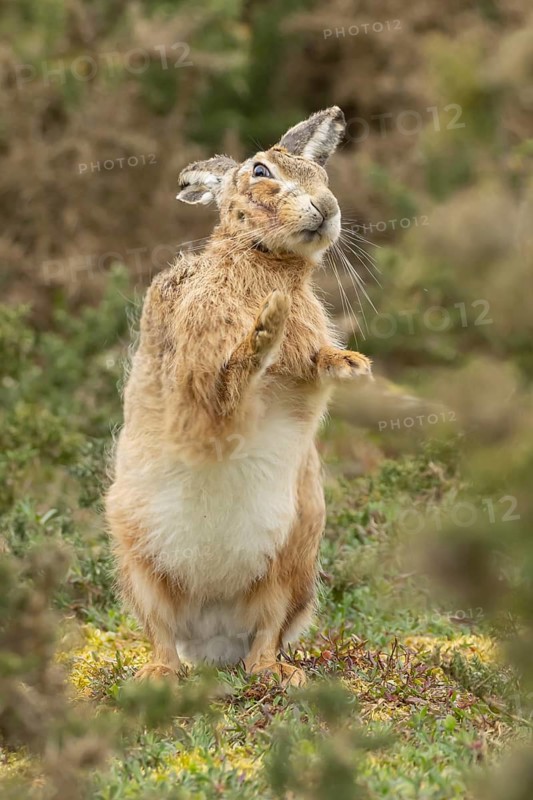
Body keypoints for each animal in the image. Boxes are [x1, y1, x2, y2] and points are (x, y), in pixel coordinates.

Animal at [106, 106, 372, 687]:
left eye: (320, 174)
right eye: (261, 172)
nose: (328, 208)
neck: (263, 259)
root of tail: (212, 634)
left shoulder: (303, 376)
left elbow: (314, 363)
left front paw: (351, 364)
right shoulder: (196, 384)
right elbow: (225, 383)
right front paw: (266, 327)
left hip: (292, 563)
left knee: (266, 632)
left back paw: (275, 674)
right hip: (137, 564)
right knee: (160, 631)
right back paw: (158, 676)